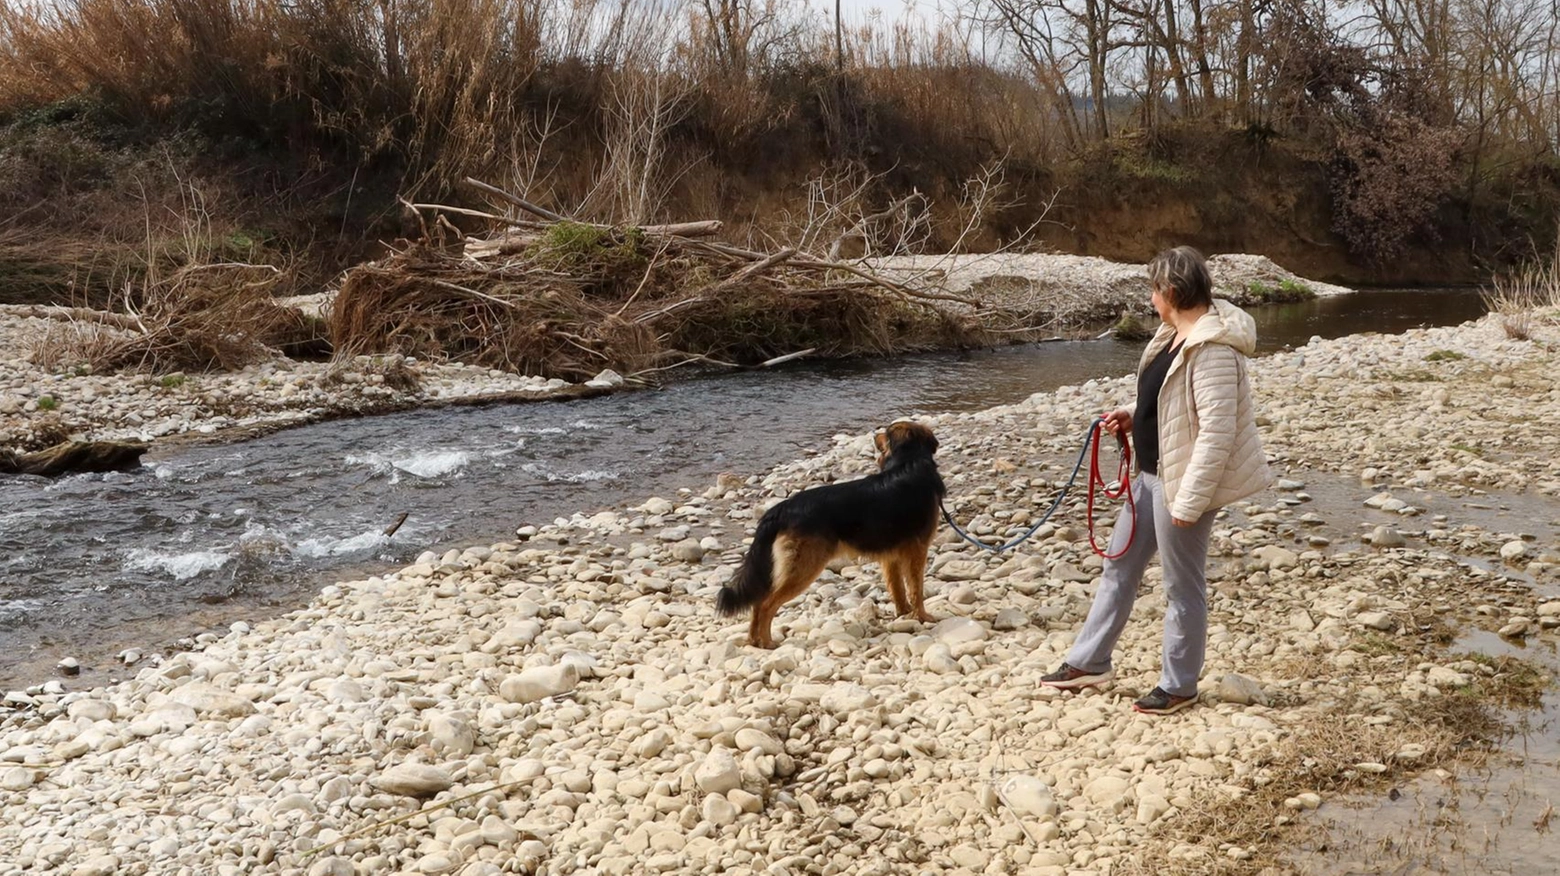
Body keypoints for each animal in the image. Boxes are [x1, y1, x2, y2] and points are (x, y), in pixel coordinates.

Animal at [714, 420, 942, 645]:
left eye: (885, 434)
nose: (873, 435)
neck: (908, 461)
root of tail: (779, 510)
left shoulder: (892, 555)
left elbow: (898, 588)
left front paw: (904, 613)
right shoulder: (918, 550)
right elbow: (916, 588)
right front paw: (922, 616)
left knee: (758, 601)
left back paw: (754, 640)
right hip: (805, 567)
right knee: (766, 604)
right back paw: (768, 643)